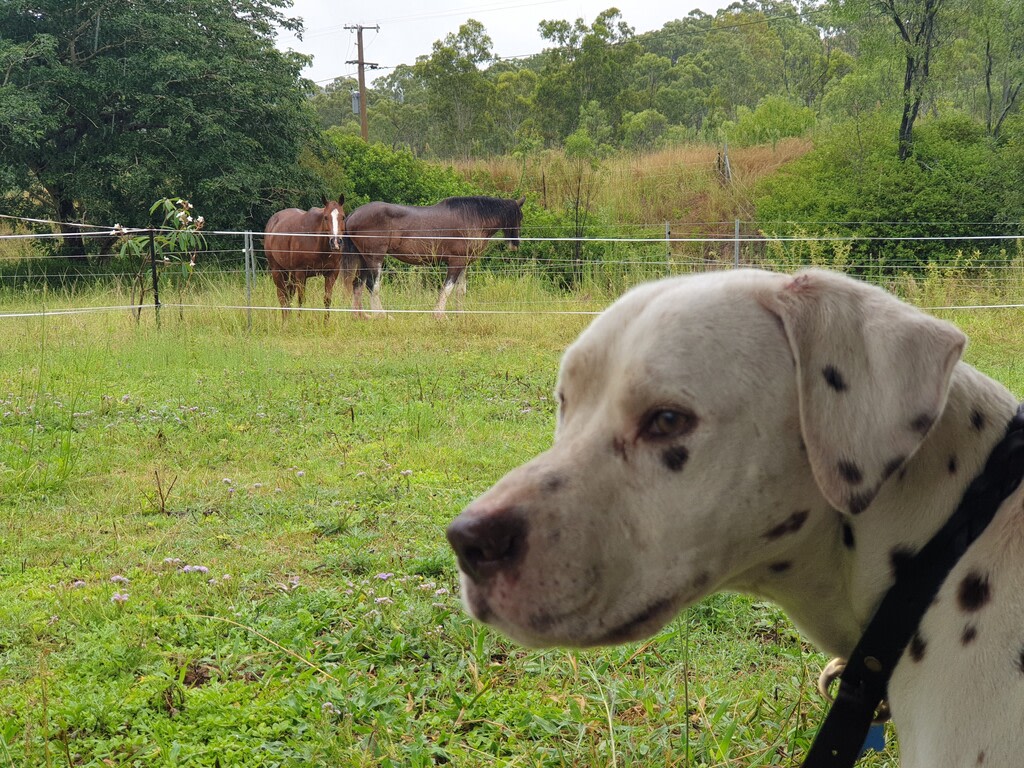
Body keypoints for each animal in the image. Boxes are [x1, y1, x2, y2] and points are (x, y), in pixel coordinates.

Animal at [341, 196, 525, 317]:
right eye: (518, 217)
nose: (515, 244)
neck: (471, 218)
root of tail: (352, 215)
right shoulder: (455, 262)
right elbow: (447, 289)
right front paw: (439, 315)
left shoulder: (464, 264)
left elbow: (460, 291)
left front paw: (460, 316)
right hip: (375, 258)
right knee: (373, 285)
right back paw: (382, 316)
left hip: (364, 259)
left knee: (357, 285)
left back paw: (360, 316)